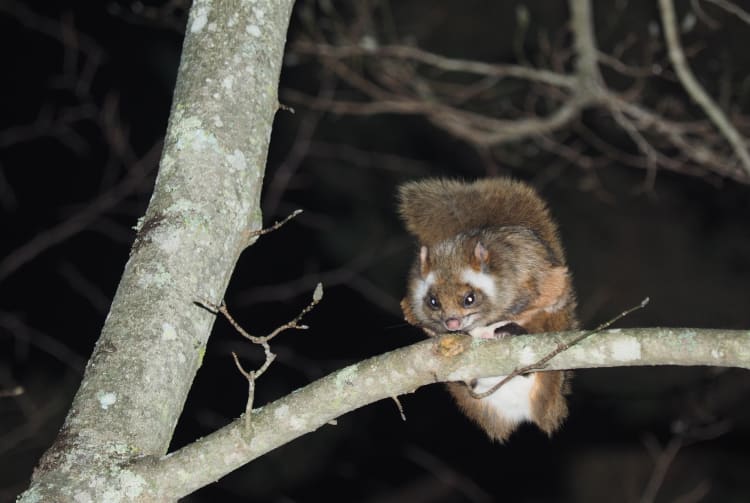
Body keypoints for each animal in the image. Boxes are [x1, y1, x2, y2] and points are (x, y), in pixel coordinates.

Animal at [400, 176, 580, 440]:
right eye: (434, 302)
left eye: (469, 299)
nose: (452, 323)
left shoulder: (539, 278)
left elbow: (548, 294)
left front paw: (491, 327)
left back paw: (510, 333)